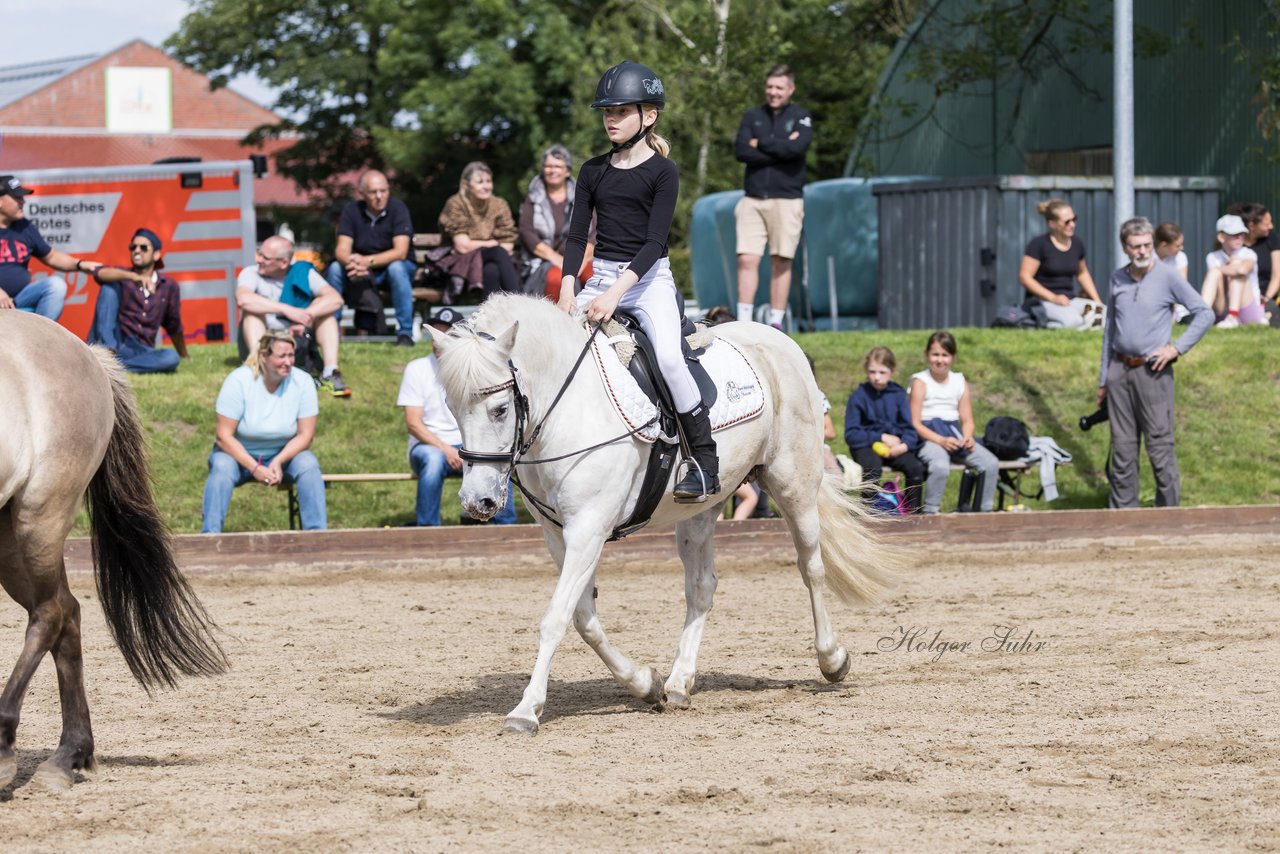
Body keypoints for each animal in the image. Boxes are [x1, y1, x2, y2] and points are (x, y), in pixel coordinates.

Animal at [0, 311, 225, 793]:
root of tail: (86, 351)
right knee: (66, 614)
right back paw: (68, 754)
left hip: (38, 515)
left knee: (50, 614)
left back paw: (12, 745)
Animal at [427, 295, 890, 737]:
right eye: (450, 406)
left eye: (500, 409)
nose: (477, 502)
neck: (568, 410)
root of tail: (781, 342)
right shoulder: (558, 534)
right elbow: (583, 618)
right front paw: (644, 683)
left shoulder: (588, 528)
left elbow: (556, 618)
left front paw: (526, 710)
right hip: (703, 508)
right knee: (702, 587)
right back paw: (679, 682)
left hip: (793, 482)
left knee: (811, 567)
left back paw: (832, 659)